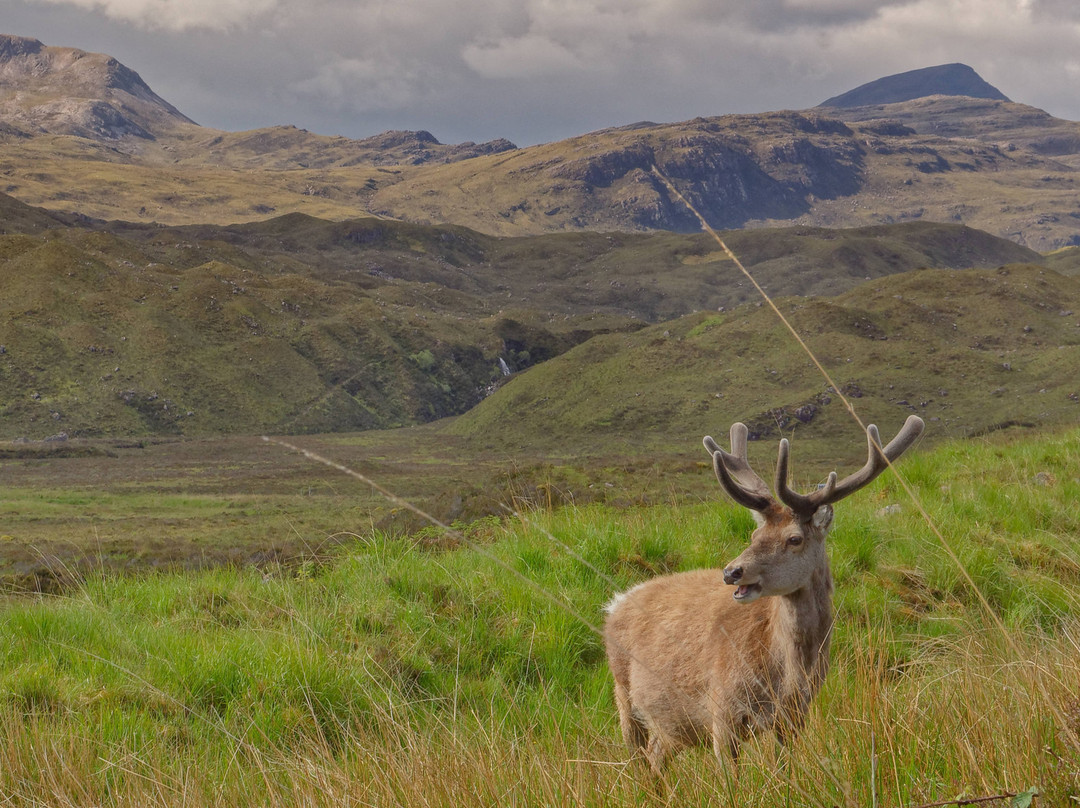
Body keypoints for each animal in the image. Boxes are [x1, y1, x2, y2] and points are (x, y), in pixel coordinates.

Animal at [604, 412, 924, 773]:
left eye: (794, 538)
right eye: (755, 534)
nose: (731, 571)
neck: (787, 677)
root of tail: (615, 604)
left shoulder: (795, 716)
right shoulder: (721, 708)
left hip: (672, 726)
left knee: (656, 756)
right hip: (623, 693)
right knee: (637, 759)